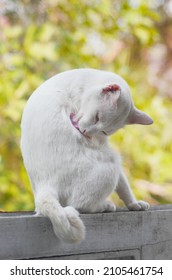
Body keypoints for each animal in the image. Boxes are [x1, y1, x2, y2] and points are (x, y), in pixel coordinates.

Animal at [20, 68, 153, 243]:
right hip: (111, 164)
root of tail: (44, 187)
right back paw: (106, 206)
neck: (80, 84)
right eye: (97, 117)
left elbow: (124, 186)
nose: (85, 132)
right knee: (79, 205)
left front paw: (134, 205)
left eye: (105, 131)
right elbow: (122, 184)